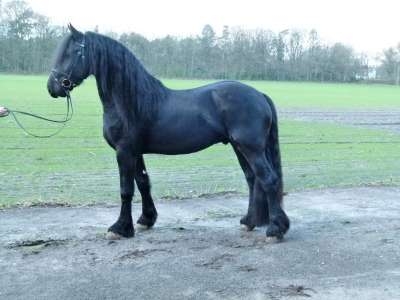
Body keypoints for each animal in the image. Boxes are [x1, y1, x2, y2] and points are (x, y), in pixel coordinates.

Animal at [47, 25, 290, 240]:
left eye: (73, 52)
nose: (53, 87)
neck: (130, 101)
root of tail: (259, 94)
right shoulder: (136, 152)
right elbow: (143, 183)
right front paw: (146, 219)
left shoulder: (124, 151)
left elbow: (126, 189)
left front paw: (120, 228)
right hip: (239, 147)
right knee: (252, 179)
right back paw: (249, 221)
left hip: (250, 148)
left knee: (268, 179)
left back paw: (275, 230)